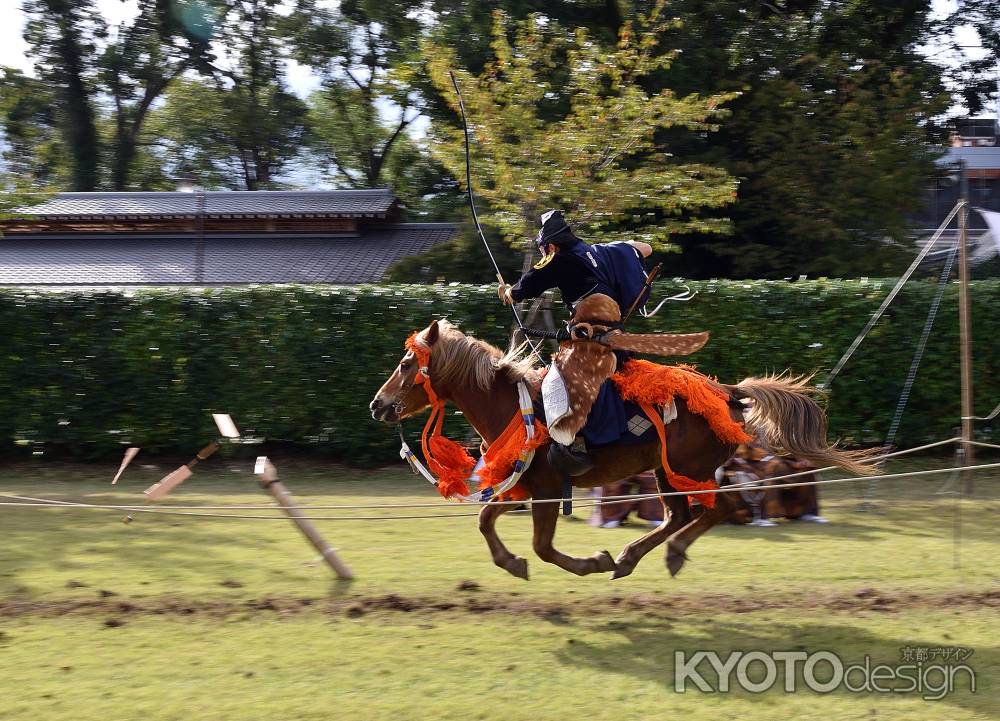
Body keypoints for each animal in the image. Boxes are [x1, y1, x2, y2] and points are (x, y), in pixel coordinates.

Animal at [372, 320, 872, 580]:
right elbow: (485, 520)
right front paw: (511, 563)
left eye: (406, 364)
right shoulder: (521, 486)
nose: (378, 404)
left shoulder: (548, 489)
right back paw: (639, 556)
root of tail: (727, 393)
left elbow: (542, 546)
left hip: (690, 469)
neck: (511, 406)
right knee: (684, 515)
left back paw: (655, 554)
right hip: (668, 472)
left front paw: (590, 561)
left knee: (719, 509)